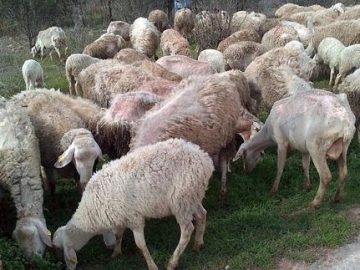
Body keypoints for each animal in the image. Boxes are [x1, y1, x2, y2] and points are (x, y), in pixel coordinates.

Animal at [52, 138, 215, 268]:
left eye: (59, 249)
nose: (58, 262)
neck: (91, 211)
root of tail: (205, 159)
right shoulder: (120, 215)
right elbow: (119, 234)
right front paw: (116, 253)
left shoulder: (134, 218)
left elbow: (140, 245)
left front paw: (152, 265)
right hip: (191, 196)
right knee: (202, 214)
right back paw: (198, 244)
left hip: (182, 201)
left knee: (187, 230)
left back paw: (172, 262)